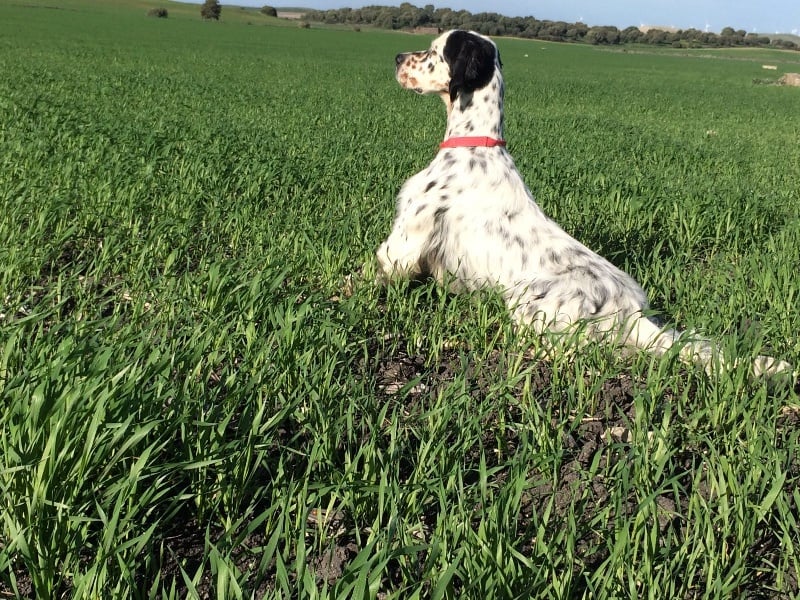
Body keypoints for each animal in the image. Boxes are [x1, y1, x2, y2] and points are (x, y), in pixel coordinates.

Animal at [378, 29, 792, 380]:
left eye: (434, 51)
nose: (396, 56)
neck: (474, 144)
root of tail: (630, 312)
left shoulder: (406, 239)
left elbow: (375, 269)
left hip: (530, 302)